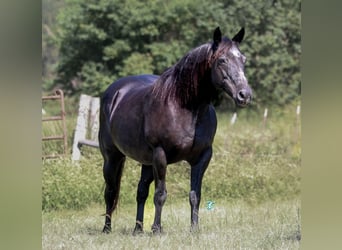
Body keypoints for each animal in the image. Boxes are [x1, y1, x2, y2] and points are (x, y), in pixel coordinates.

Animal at [98, 26, 251, 234]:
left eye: (243, 59)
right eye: (222, 60)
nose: (244, 95)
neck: (184, 107)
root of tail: (114, 92)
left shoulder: (202, 157)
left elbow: (195, 195)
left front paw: (194, 229)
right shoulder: (160, 155)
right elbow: (160, 194)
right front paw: (157, 229)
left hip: (147, 161)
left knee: (141, 191)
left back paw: (138, 229)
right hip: (112, 157)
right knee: (110, 191)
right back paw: (107, 229)